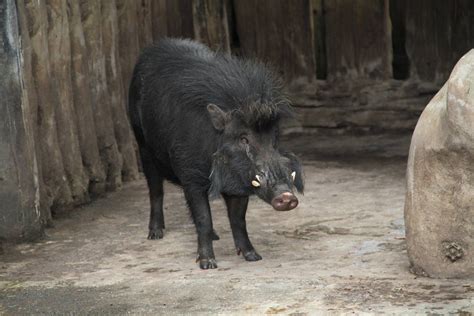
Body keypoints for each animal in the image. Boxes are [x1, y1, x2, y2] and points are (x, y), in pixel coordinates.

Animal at [128, 37, 304, 270]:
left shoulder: (240, 185)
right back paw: (155, 234)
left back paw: (216, 236)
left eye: (274, 138)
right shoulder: (191, 177)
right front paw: (207, 264)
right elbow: (203, 217)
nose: (286, 196)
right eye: (243, 139)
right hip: (143, 146)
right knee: (155, 190)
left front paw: (254, 257)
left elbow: (238, 219)